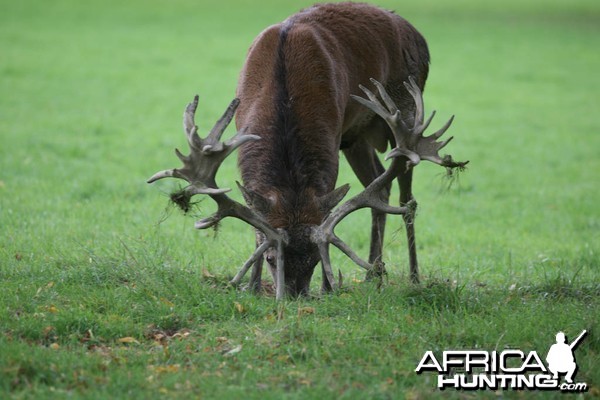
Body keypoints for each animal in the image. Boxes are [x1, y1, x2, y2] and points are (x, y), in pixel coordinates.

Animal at [148, 1, 466, 298]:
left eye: (316, 259)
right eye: (271, 258)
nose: (294, 296)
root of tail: (418, 35)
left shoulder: (332, 142)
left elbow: (325, 214)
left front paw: (327, 288)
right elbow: (257, 222)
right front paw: (252, 287)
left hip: (406, 111)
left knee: (407, 196)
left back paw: (413, 277)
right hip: (357, 136)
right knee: (380, 184)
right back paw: (373, 274)